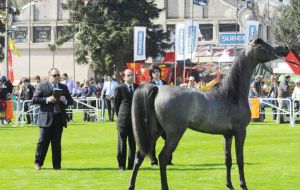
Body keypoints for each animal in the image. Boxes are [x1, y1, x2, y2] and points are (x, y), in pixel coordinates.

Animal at [129, 38, 288, 190]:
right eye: (263, 46)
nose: (284, 48)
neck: (231, 93)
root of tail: (157, 89)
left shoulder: (227, 135)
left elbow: (228, 160)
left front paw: (230, 185)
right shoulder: (240, 132)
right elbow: (240, 160)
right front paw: (243, 185)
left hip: (154, 131)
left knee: (140, 155)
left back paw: (131, 186)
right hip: (174, 134)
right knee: (163, 158)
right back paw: (164, 186)